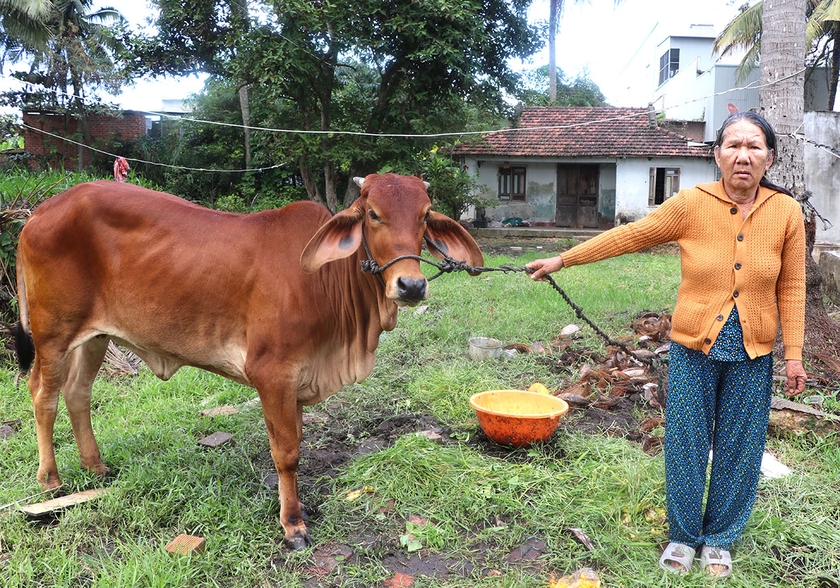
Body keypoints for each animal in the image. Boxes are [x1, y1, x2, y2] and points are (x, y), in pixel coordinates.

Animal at [13, 172, 482, 548]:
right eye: (373, 214)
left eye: (425, 215)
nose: (411, 286)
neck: (327, 284)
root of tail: (40, 212)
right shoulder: (272, 373)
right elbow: (286, 452)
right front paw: (292, 526)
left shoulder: (296, 379)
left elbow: (296, 444)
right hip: (53, 335)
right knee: (42, 396)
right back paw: (51, 480)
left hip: (95, 336)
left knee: (78, 393)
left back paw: (96, 468)